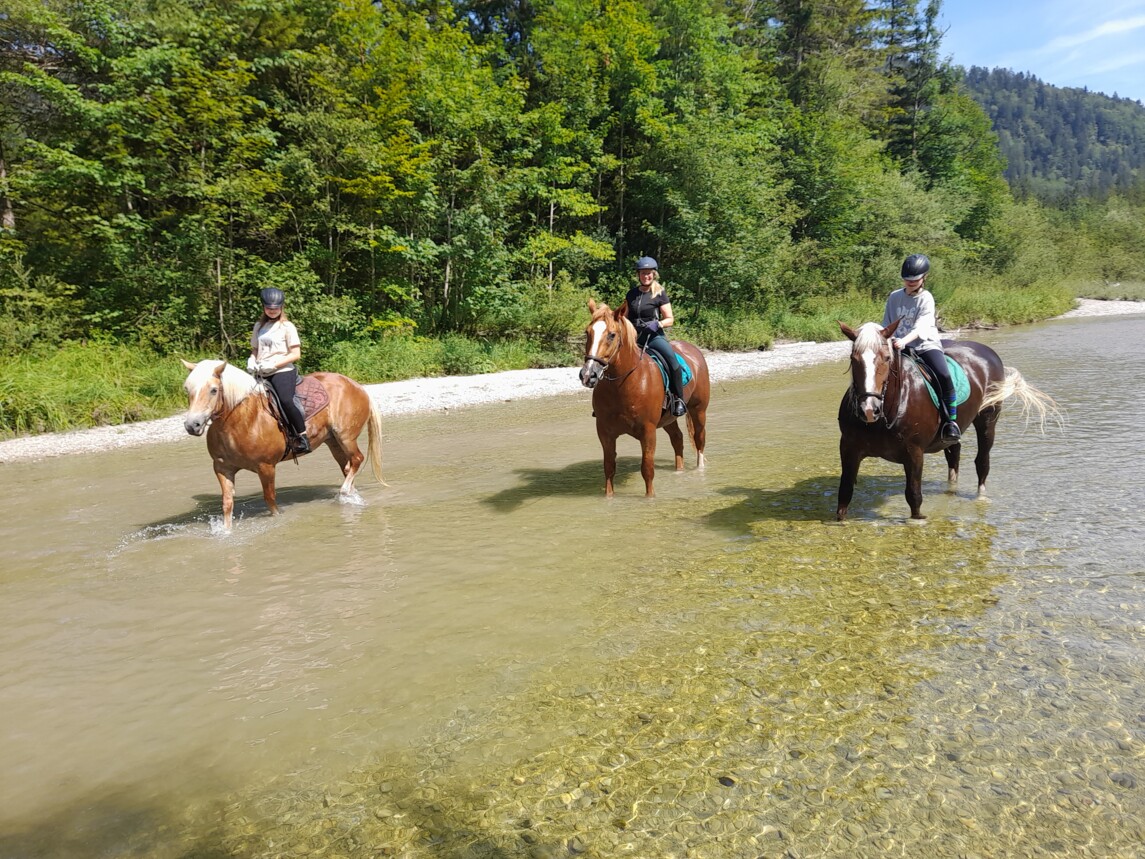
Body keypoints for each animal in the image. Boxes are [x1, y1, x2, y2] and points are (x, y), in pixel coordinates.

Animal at [179, 357, 384, 531]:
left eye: (213, 390)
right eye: (187, 389)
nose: (192, 425)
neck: (241, 420)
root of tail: (356, 385)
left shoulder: (266, 467)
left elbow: (270, 501)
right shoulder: (222, 468)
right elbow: (227, 504)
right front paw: (226, 532)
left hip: (345, 437)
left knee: (357, 459)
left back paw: (344, 492)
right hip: (333, 442)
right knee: (347, 468)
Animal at [577, 300, 709, 497]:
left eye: (612, 335)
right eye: (588, 332)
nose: (588, 375)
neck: (624, 384)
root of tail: (693, 349)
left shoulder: (648, 431)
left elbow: (647, 469)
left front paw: (650, 498)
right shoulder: (605, 432)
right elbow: (609, 468)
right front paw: (609, 498)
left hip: (698, 410)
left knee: (699, 438)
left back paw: (700, 471)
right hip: (668, 418)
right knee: (677, 439)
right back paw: (679, 471)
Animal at [838, 320, 1057, 522]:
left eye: (886, 358)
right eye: (853, 359)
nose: (868, 409)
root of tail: (988, 352)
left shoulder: (914, 452)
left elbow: (914, 497)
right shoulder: (849, 449)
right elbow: (844, 494)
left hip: (988, 420)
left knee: (982, 461)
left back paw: (981, 498)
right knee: (954, 454)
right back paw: (951, 490)